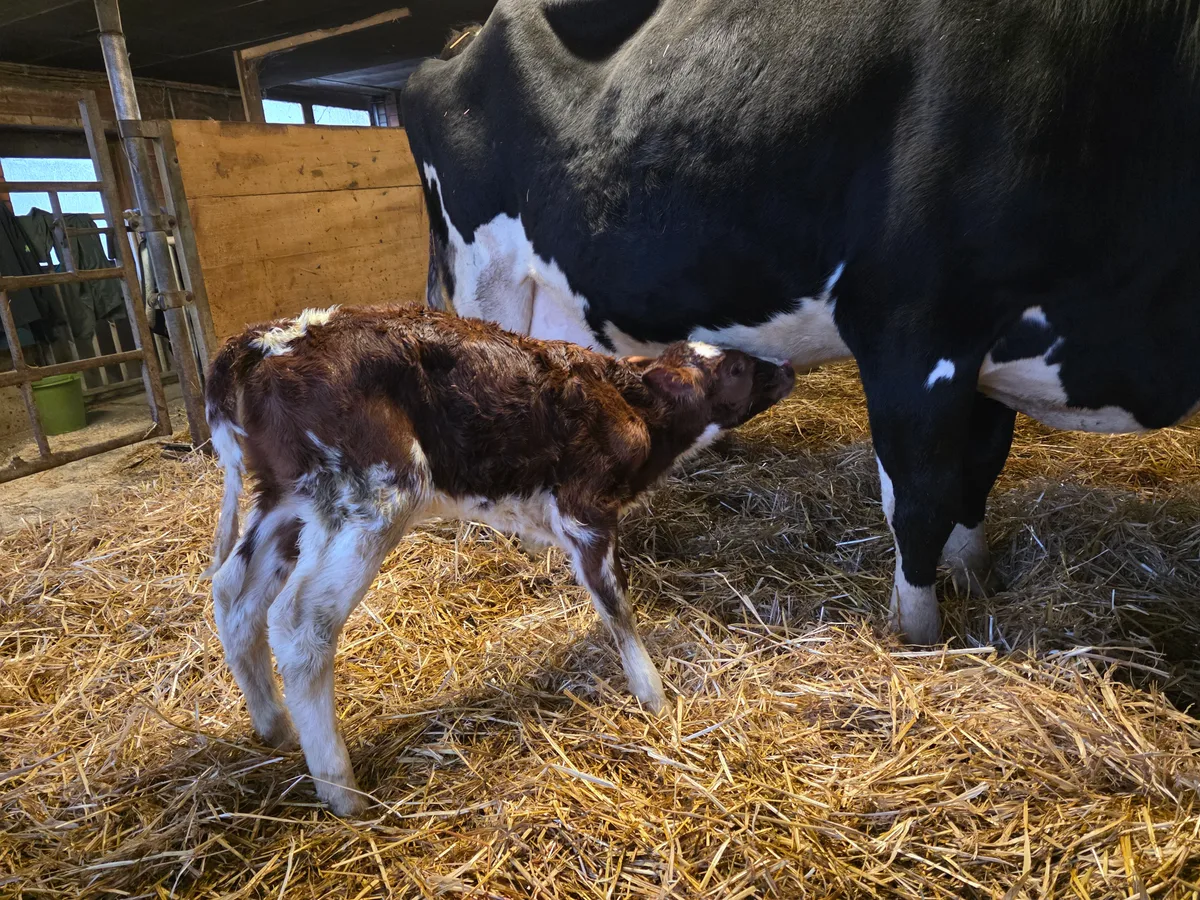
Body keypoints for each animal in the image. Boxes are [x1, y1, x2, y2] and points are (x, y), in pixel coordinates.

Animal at [203, 304, 793, 815]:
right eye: (737, 367)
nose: (787, 367)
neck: (632, 407)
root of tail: (266, 339)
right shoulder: (586, 511)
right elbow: (617, 607)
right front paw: (654, 697)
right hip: (374, 494)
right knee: (300, 622)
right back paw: (341, 788)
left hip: (288, 500)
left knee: (235, 592)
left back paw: (274, 726)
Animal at [400, 0, 1200, 646]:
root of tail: (451, 48)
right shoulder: (911, 332)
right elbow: (921, 498)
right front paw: (920, 634)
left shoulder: (986, 353)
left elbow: (978, 470)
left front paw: (975, 578)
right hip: (490, 286)